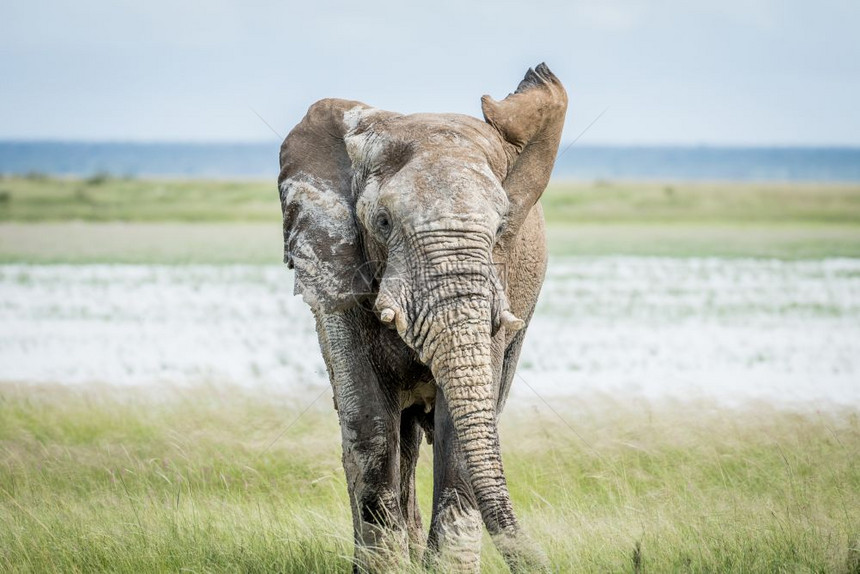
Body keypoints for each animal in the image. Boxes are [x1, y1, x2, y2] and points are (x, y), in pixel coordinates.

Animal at [278, 65, 568, 572]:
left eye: (501, 228)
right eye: (383, 222)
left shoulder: (500, 284)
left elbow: (462, 425)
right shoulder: (337, 274)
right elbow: (368, 420)